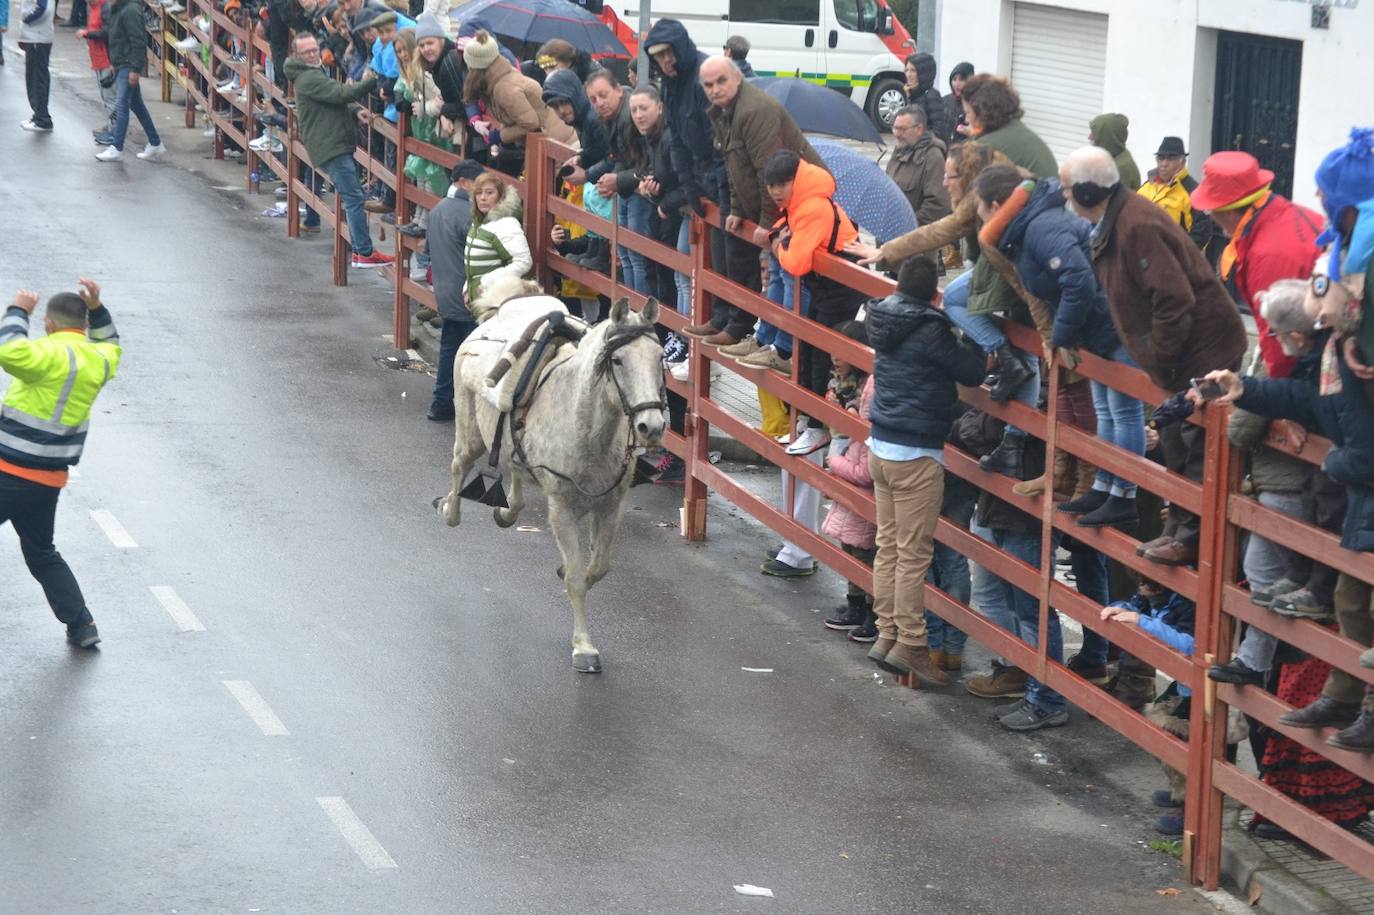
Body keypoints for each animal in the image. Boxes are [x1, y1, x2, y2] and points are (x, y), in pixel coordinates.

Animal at [431, 287, 662, 670]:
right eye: (618, 361)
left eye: (659, 359)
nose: (652, 427)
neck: (588, 431)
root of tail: (487, 323)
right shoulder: (562, 510)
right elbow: (577, 578)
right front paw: (584, 647)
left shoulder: (611, 507)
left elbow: (598, 567)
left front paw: (569, 574)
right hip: (470, 433)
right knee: (458, 465)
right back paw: (449, 510)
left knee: (513, 473)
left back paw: (507, 511)